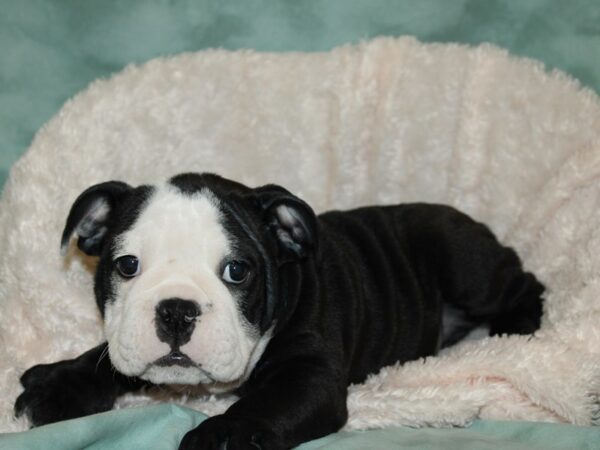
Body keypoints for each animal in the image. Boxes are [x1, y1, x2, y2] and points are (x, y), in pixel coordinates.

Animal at [14, 171, 548, 448]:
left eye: (237, 271)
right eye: (127, 265)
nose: (176, 311)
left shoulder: (309, 379)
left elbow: (263, 405)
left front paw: (222, 435)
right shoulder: (125, 341)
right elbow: (104, 356)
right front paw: (59, 385)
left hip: (460, 257)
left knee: (522, 283)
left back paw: (517, 328)